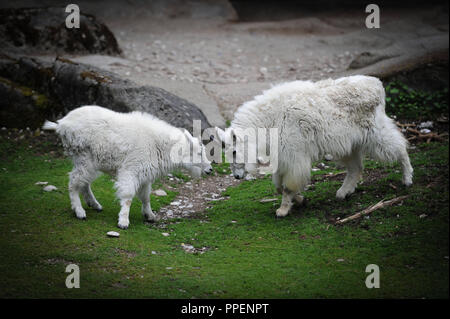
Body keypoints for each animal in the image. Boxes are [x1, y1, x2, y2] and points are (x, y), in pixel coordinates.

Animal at [43, 106, 212, 229]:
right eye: (198, 152)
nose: (209, 170)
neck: (160, 145)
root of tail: (61, 125)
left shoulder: (145, 175)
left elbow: (145, 197)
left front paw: (150, 216)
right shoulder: (131, 170)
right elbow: (128, 196)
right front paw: (123, 221)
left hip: (90, 162)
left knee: (83, 183)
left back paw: (95, 205)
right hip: (84, 157)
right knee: (74, 182)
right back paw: (79, 211)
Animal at [216, 76, 414, 219]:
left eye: (234, 151)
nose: (237, 176)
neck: (269, 121)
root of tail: (378, 86)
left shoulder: (294, 154)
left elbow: (287, 185)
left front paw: (283, 210)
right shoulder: (281, 157)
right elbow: (279, 186)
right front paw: (300, 199)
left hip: (375, 133)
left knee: (399, 147)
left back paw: (407, 178)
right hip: (349, 145)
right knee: (356, 167)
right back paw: (344, 192)